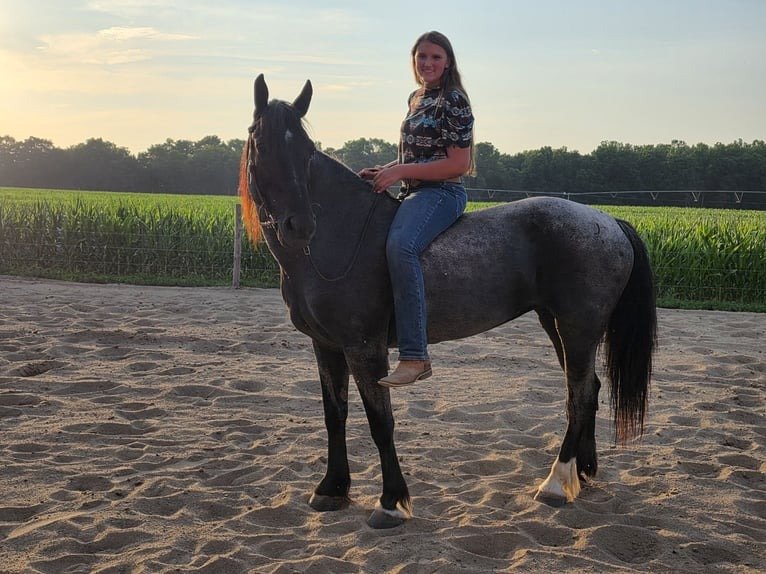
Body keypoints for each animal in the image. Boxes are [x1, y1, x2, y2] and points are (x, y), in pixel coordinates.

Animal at [239, 74, 657, 529]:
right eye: (262, 145)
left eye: (307, 152)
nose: (299, 225)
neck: (340, 234)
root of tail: (607, 220)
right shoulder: (326, 345)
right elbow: (335, 415)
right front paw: (332, 489)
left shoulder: (364, 348)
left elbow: (380, 421)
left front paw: (391, 502)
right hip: (556, 324)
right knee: (588, 390)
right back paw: (582, 471)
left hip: (577, 327)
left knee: (579, 395)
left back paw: (555, 483)